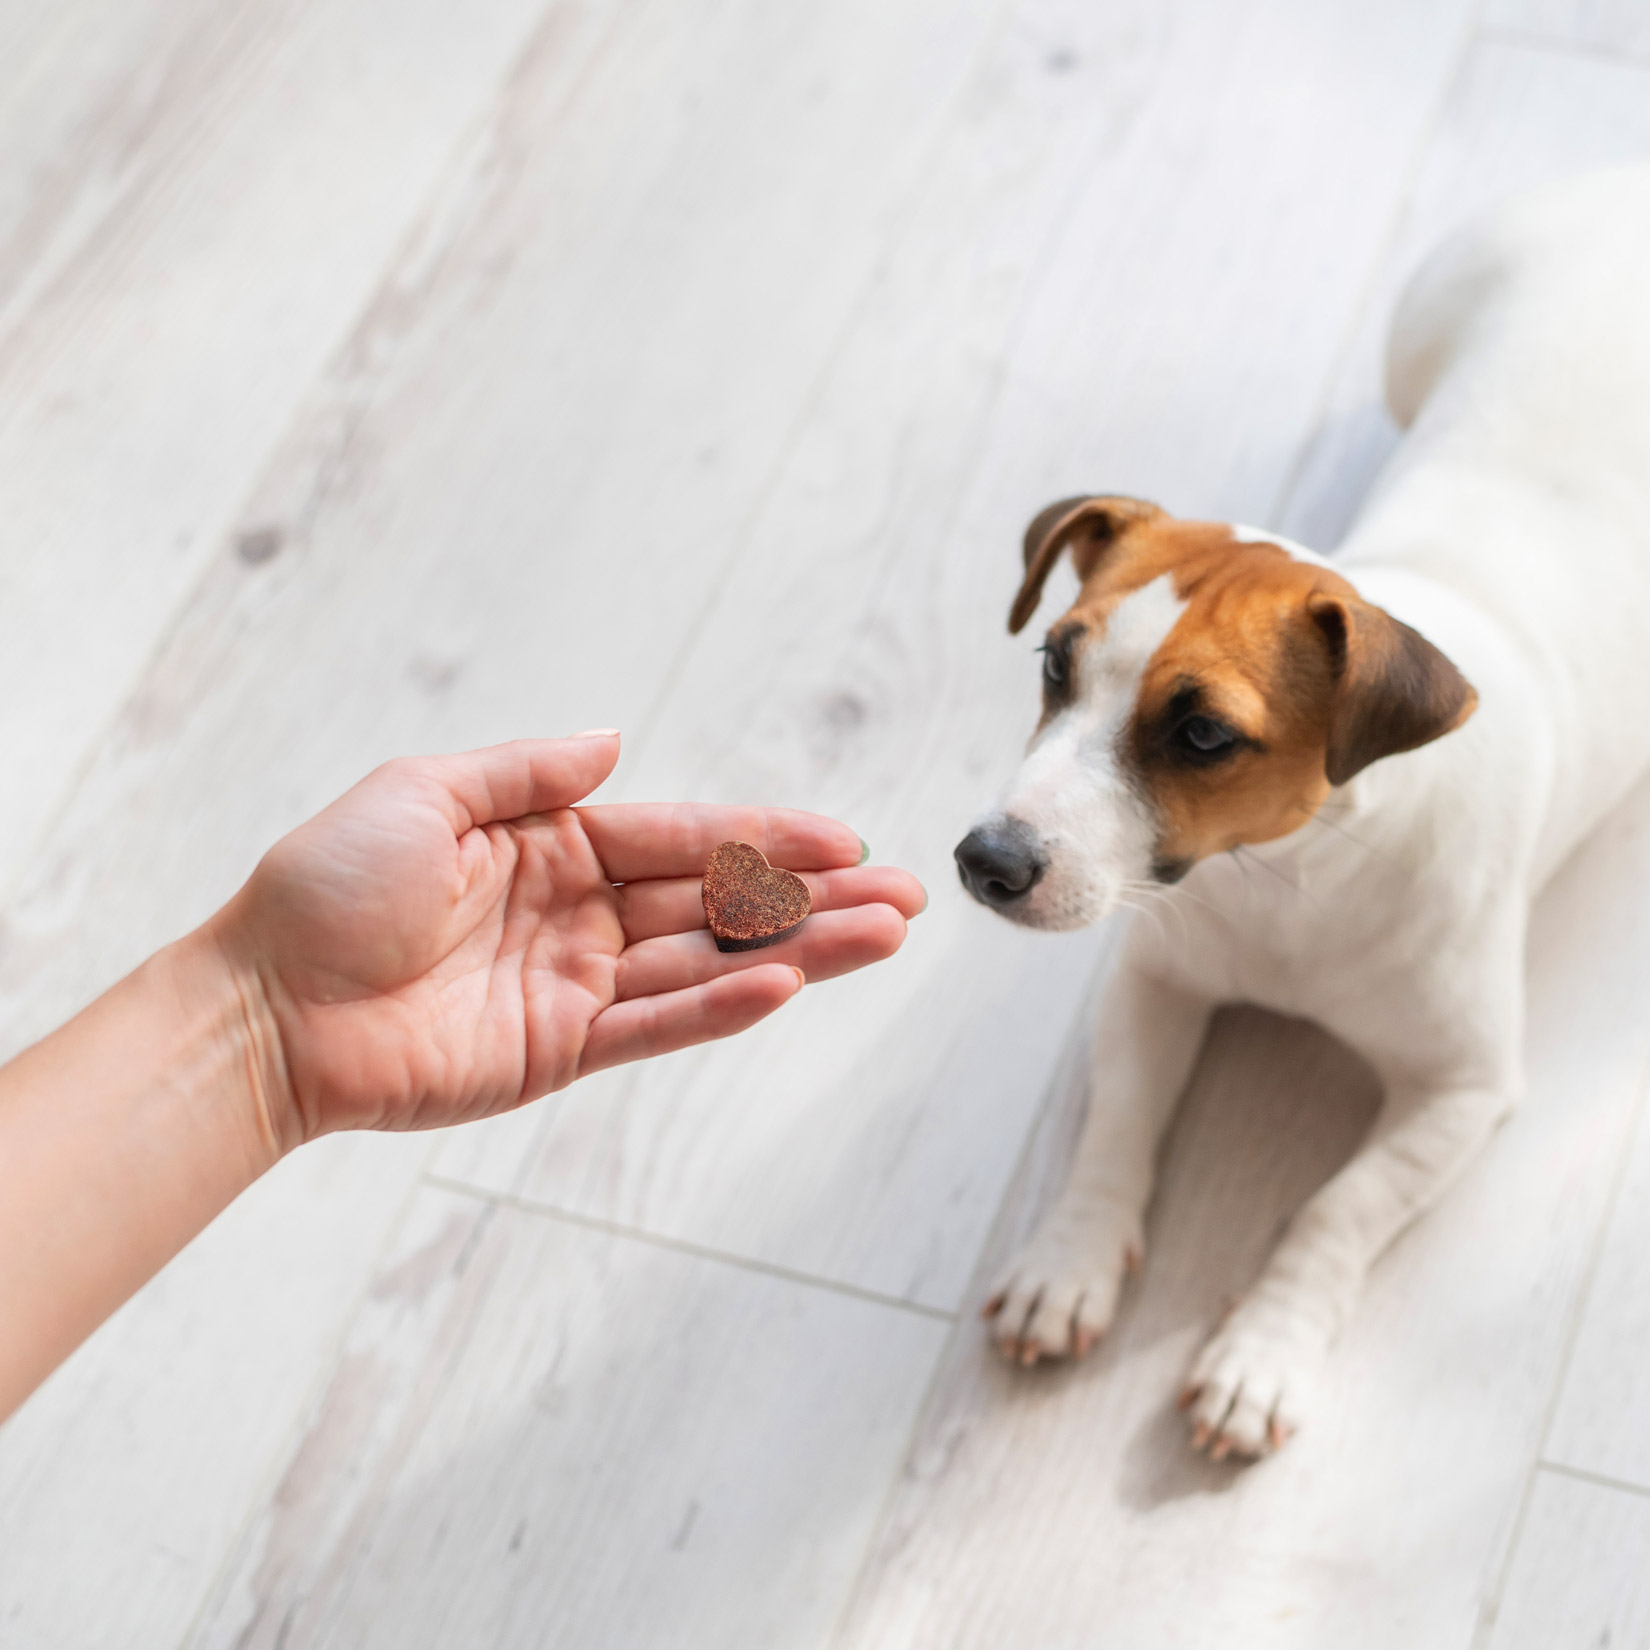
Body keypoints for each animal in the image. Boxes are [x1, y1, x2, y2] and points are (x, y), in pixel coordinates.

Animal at [963, 164, 1650, 1458]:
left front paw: (1260, 1354)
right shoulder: (1154, 984)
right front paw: (1069, 1261)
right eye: (1052, 664)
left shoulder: (1462, 1091)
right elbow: (1116, 1127)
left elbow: (1337, 1210)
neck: (1291, 882)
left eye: (1201, 734)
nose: (985, 861)